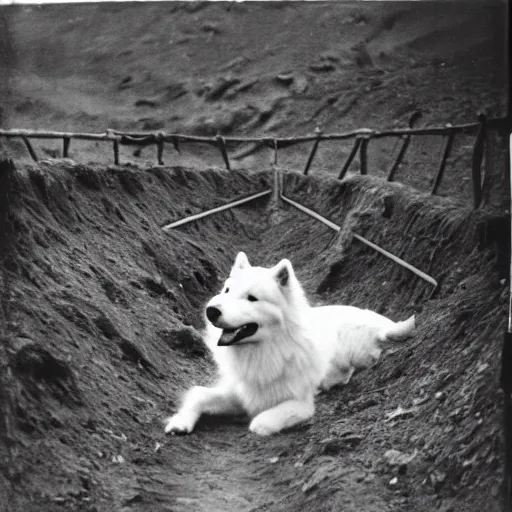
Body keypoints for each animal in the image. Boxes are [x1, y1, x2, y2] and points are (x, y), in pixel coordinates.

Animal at [165, 252, 416, 436]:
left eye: (252, 298)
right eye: (227, 291)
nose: (211, 311)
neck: (262, 349)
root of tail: (380, 320)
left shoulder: (299, 403)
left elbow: (261, 422)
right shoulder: (239, 393)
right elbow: (199, 395)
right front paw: (180, 422)